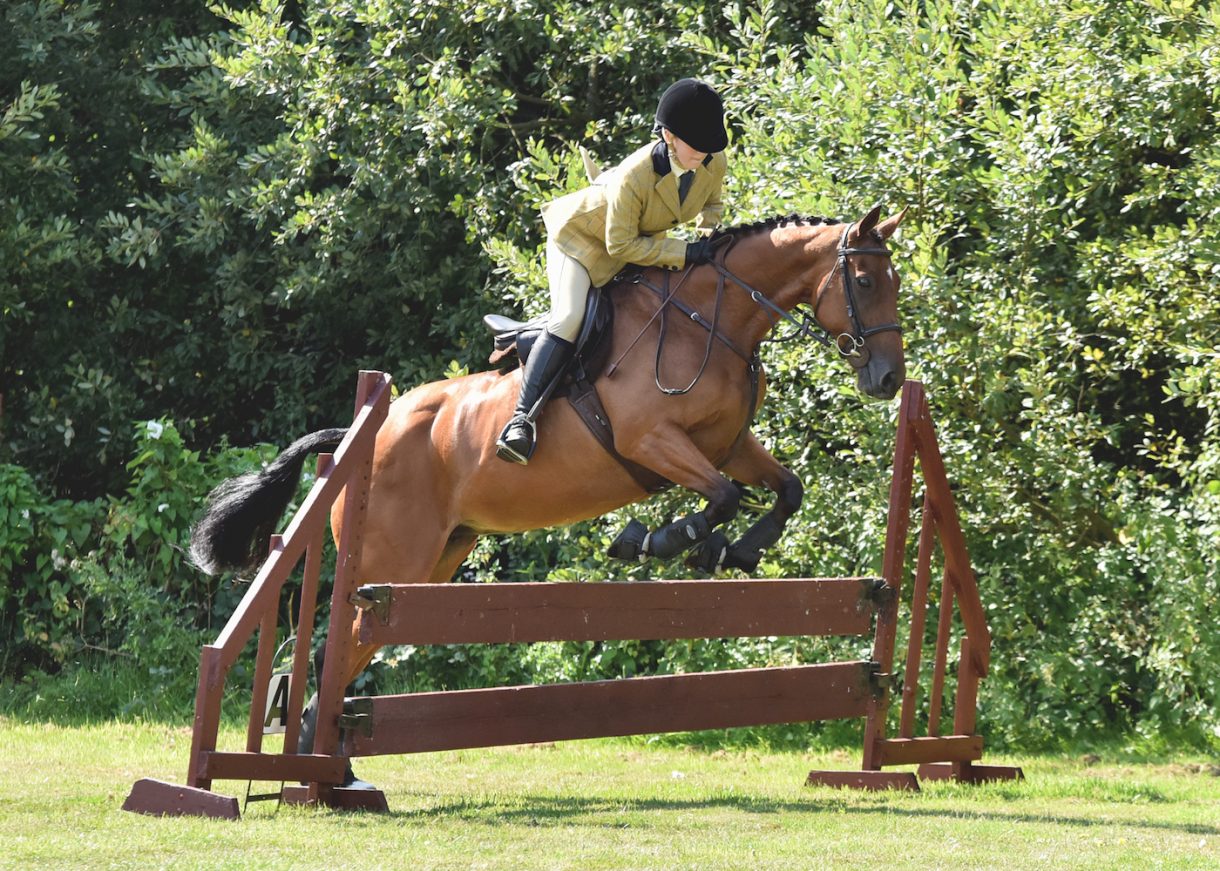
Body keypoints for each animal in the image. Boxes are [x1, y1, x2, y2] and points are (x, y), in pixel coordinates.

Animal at [190, 205, 907, 694]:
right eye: (866, 282)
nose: (889, 381)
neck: (710, 322)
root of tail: (368, 432)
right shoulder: (651, 439)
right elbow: (724, 495)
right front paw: (659, 539)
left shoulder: (728, 444)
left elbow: (784, 488)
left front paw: (735, 550)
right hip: (386, 556)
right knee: (326, 651)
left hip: (432, 560)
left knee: (348, 650)